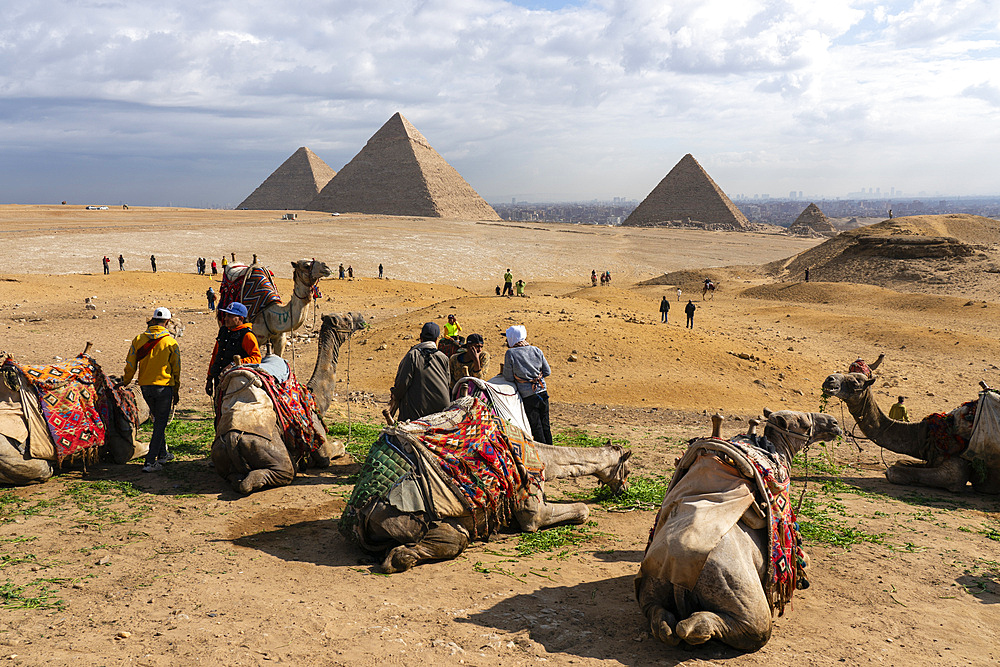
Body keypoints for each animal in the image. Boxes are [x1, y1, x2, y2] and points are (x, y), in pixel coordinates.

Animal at [212, 314, 368, 496]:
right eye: (346, 318)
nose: (361, 320)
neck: (314, 397)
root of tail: (231, 440)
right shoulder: (317, 433)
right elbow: (330, 454)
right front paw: (338, 447)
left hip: (219, 451)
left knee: (232, 475)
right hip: (264, 448)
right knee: (283, 470)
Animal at [636, 410, 840, 648]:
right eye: (804, 423)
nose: (834, 424)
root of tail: (678, 571)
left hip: (653, 581)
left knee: (660, 617)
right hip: (737, 591)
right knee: (750, 627)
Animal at [820, 374, 1000, 494]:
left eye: (854, 381)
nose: (829, 379)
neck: (928, 432)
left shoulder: (956, 470)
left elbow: (893, 472)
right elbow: (900, 462)